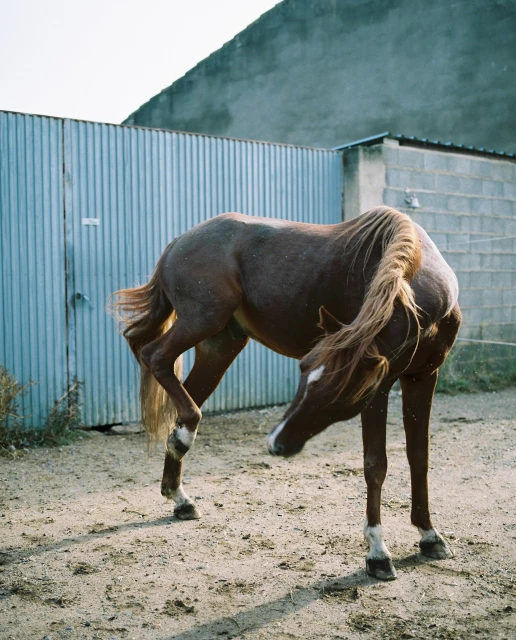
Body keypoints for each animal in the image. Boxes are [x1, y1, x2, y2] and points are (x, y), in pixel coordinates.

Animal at [112, 206, 461, 581]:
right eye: (303, 369)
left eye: (337, 390)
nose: (275, 443)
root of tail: (178, 242)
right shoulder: (380, 387)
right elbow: (375, 464)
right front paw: (378, 553)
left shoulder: (422, 378)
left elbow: (419, 457)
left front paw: (429, 535)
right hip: (201, 321)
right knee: (155, 357)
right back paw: (182, 440)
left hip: (220, 344)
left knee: (181, 390)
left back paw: (179, 495)